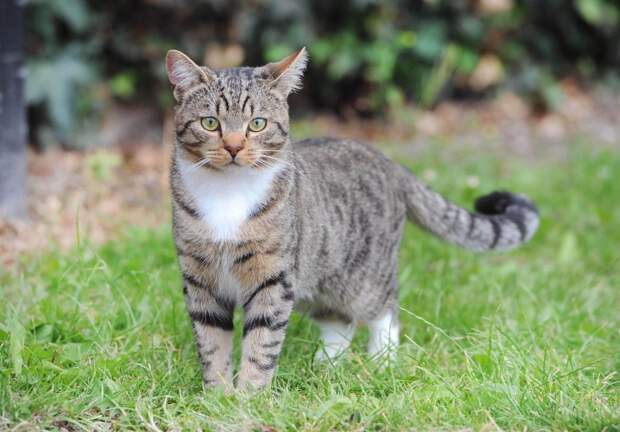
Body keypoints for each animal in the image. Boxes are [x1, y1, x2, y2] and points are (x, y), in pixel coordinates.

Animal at [163, 47, 536, 392]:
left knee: (385, 309)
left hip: (363, 276)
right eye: (210, 123)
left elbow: (261, 343)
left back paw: (381, 361)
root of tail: (388, 160)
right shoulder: (200, 279)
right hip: (320, 273)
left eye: (257, 124)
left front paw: (249, 397)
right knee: (338, 321)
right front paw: (218, 396)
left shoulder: (274, 278)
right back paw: (326, 365)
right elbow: (212, 343)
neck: (227, 194)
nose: (234, 148)